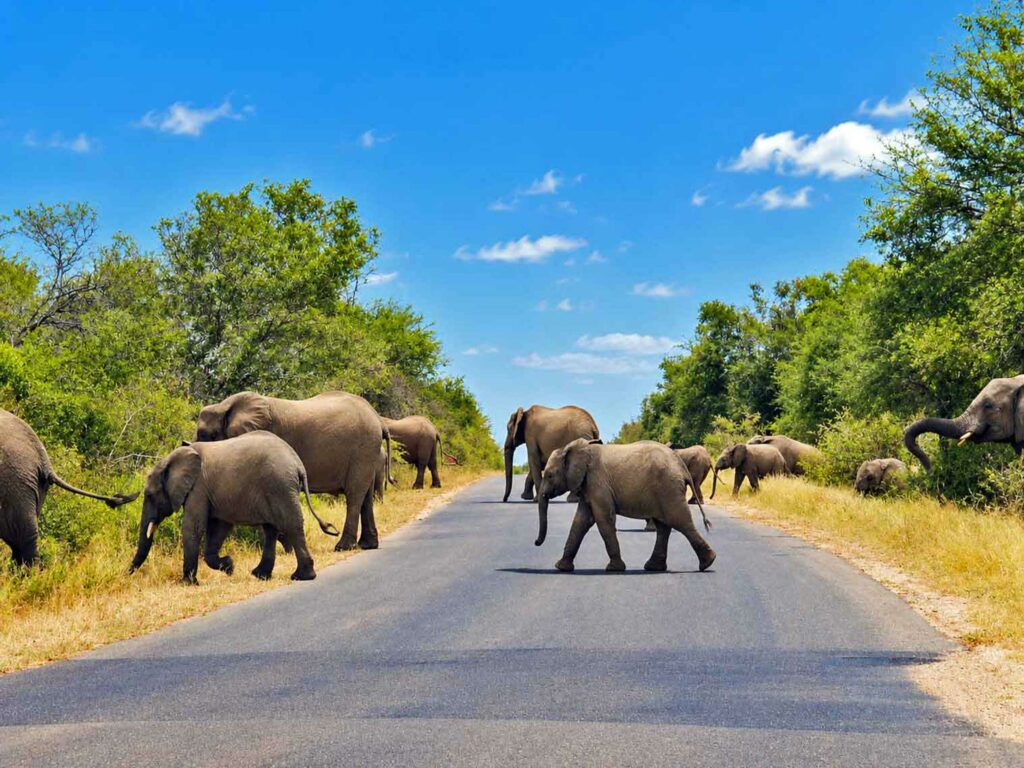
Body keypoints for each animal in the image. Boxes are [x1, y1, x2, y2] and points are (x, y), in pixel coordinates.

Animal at [130, 431, 338, 584]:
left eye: (149, 496)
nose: (128, 573)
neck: (171, 459)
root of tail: (298, 464)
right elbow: (218, 528)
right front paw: (230, 566)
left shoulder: (198, 487)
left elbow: (193, 527)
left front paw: (188, 583)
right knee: (270, 530)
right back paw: (261, 575)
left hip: (279, 486)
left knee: (291, 524)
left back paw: (301, 577)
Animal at [195, 390, 390, 552]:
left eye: (210, 435)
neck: (224, 406)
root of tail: (379, 420)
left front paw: (287, 545)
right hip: (367, 452)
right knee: (366, 496)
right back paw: (368, 545)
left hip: (363, 448)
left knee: (354, 495)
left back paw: (343, 547)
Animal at [535, 439, 715, 573]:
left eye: (549, 475)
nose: (536, 543)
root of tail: (681, 467)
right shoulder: (588, 486)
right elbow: (581, 521)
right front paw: (561, 567)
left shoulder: (597, 483)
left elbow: (603, 519)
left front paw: (614, 569)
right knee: (664, 526)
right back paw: (654, 567)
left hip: (668, 487)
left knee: (680, 521)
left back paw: (708, 563)